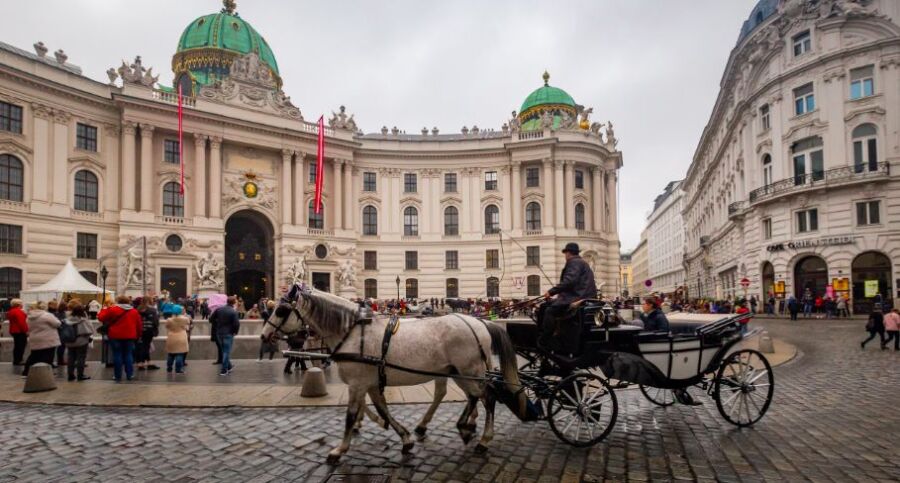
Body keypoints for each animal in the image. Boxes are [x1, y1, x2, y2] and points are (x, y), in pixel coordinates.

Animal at [260, 288, 524, 466]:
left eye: (281, 310)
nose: (264, 335)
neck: (353, 332)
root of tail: (480, 323)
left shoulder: (357, 384)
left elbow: (350, 416)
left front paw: (339, 449)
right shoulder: (370, 382)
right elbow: (382, 409)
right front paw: (404, 438)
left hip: (470, 372)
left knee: (488, 398)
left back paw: (483, 440)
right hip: (460, 373)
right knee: (472, 397)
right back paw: (462, 427)